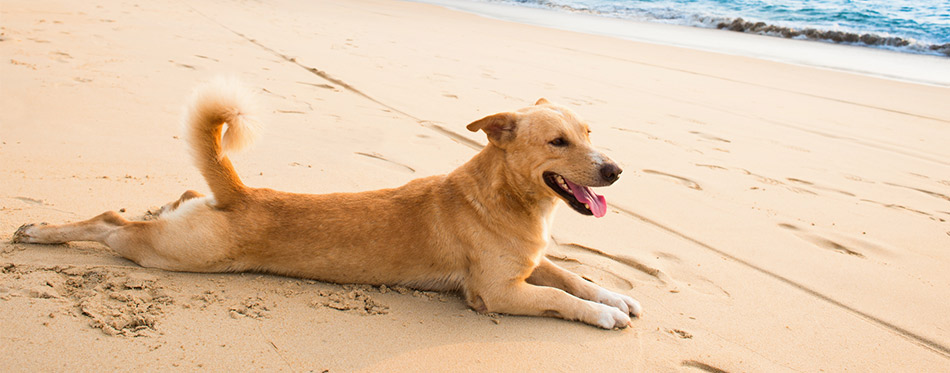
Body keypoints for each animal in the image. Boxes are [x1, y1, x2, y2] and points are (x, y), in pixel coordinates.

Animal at [13, 79, 640, 328]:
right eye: (558, 142)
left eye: (589, 132)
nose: (615, 170)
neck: (504, 197)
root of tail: (238, 192)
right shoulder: (500, 293)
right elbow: (561, 299)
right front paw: (603, 314)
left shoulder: (532, 264)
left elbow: (576, 279)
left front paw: (615, 296)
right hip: (173, 254)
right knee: (110, 223)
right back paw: (39, 232)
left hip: (180, 227)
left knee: (154, 207)